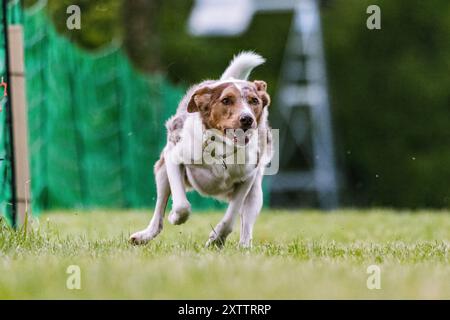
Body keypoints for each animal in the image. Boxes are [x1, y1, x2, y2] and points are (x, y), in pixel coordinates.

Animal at [128, 52, 272, 248]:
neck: (222, 149)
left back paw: (244, 247)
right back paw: (144, 236)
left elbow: (231, 216)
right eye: (226, 100)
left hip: (256, 193)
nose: (247, 119)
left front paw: (216, 239)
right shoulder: (174, 158)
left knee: (246, 222)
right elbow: (182, 205)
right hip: (162, 172)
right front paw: (174, 216)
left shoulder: (247, 178)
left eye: (254, 101)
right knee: (158, 214)